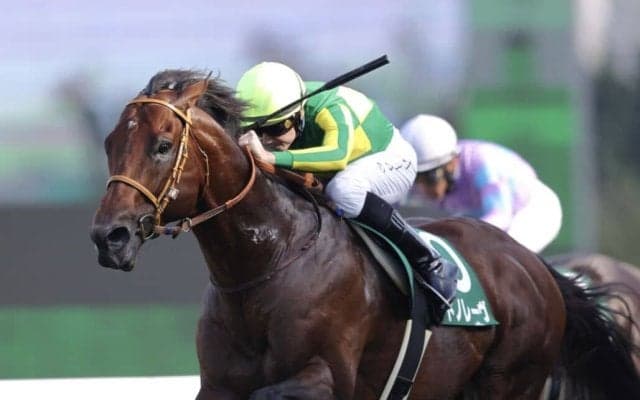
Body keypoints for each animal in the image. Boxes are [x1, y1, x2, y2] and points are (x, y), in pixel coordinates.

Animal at [89, 69, 640, 399]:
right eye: (111, 143)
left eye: (162, 145)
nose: (108, 237)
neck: (267, 263)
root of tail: (535, 267)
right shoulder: (218, 384)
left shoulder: (325, 376)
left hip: (510, 381)